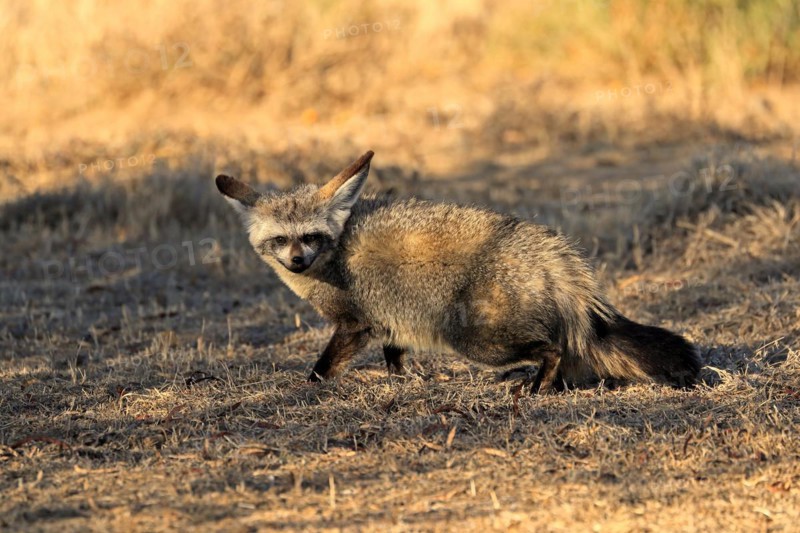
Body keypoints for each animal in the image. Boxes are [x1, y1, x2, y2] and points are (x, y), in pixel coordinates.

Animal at [215, 150, 701, 393]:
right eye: (281, 240)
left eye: (311, 237)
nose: (297, 261)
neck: (332, 257)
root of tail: (550, 250)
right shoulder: (391, 317)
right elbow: (394, 356)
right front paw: (403, 382)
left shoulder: (355, 323)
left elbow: (324, 365)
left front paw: (309, 386)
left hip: (476, 340)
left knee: (553, 349)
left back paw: (537, 386)